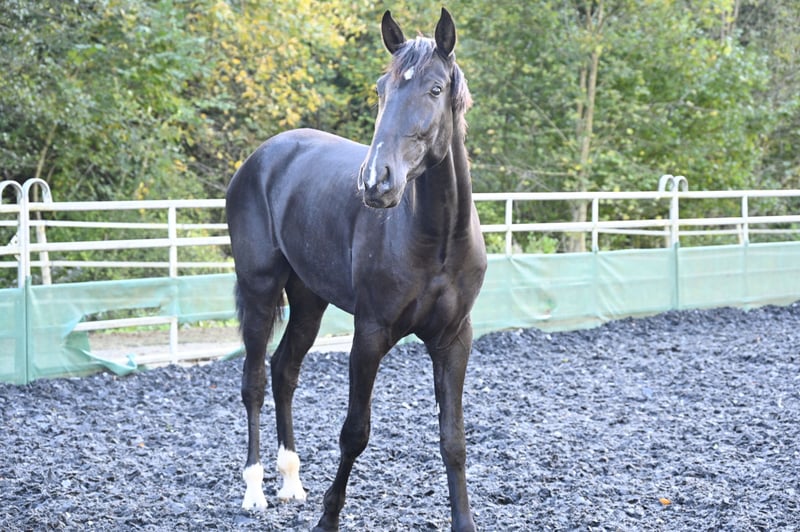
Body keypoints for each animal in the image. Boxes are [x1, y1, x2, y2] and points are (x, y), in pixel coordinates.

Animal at [225, 8, 486, 531]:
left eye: (434, 89)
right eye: (381, 89)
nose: (375, 181)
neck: (437, 242)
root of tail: (260, 158)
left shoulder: (454, 340)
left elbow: (453, 439)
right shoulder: (369, 334)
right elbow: (355, 432)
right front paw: (328, 518)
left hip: (309, 300)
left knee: (284, 370)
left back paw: (290, 482)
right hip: (260, 291)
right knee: (255, 381)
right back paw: (254, 490)